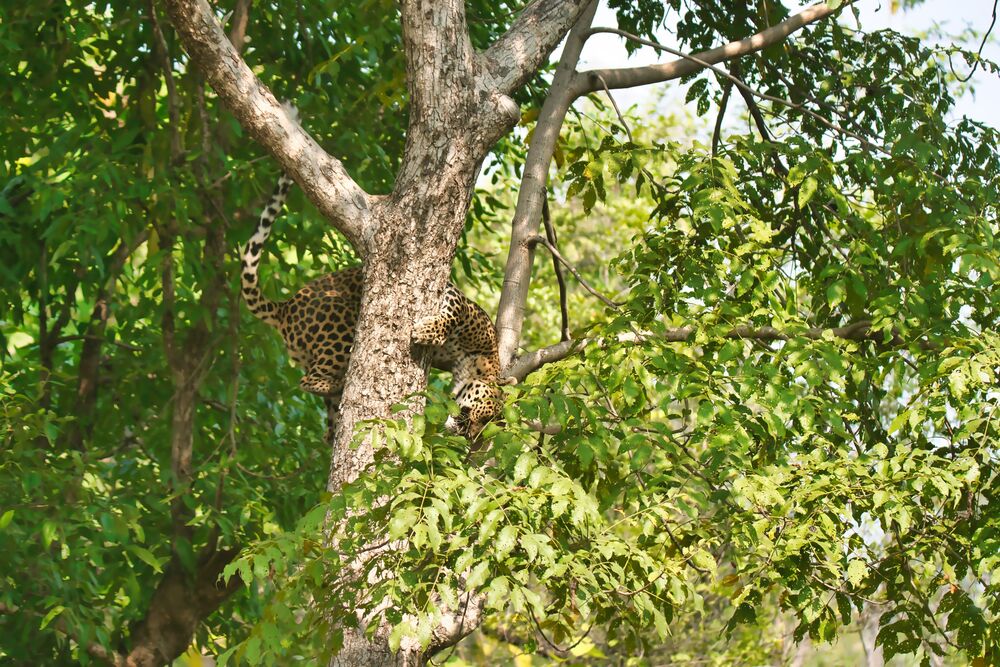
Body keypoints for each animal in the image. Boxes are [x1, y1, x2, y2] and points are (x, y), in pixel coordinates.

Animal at [240, 173, 502, 438]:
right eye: (485, 416)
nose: (468, 435)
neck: (477, 362)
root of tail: (285, 307)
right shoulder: (459, 300)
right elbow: (451, 314)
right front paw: (427, 332)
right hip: (340, 326)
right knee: (309, 380)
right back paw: (339, 382)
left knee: (326, 421)